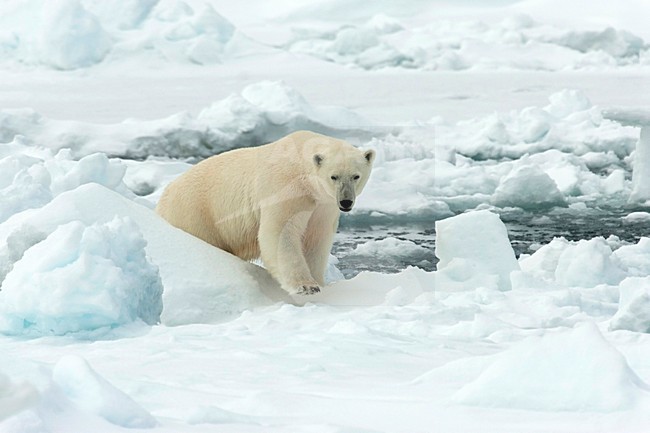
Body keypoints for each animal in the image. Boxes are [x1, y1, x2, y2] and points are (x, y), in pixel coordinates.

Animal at [156, 130, 375, 295]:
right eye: (334, 176)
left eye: (356, 176)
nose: (346, 202)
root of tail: (161, 203)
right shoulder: (285, 187)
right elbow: (280, 232)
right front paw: (305, 286)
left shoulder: (323, 205)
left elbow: (316, 239)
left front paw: (319, 282)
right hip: (196, 214)